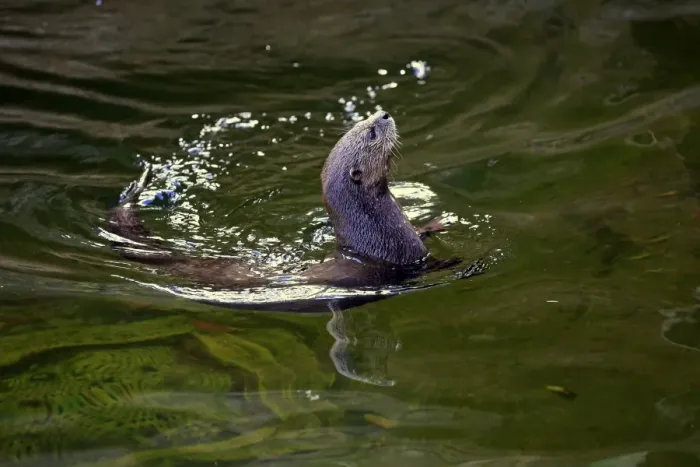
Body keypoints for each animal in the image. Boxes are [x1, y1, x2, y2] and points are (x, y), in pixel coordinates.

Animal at [105, 110, 483, 306]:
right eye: (372, 132)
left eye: (363, 123)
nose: (384, 113)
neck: (376, 230)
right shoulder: (401, 256)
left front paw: (434, 223)